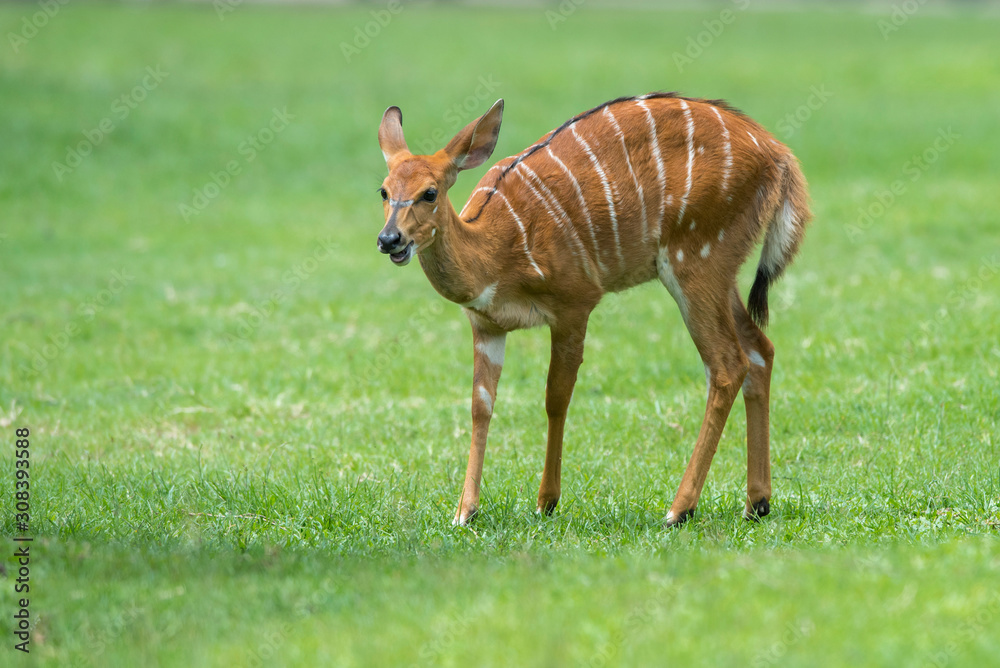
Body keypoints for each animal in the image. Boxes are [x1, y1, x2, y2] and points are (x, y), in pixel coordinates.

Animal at [375, 92, 810, 527]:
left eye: (430, 192)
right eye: (383, 190)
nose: (389, 239)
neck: (494, 254)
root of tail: (779, 155)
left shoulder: (575, 301)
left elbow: (556, 396)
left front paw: (546, 501)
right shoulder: (486, 325)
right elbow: (480, 404)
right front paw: (465, 511)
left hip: (696, 259)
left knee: (726, 364)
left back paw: (679, 509)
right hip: (722, 272)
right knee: (760, 350)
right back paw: (757, 503)